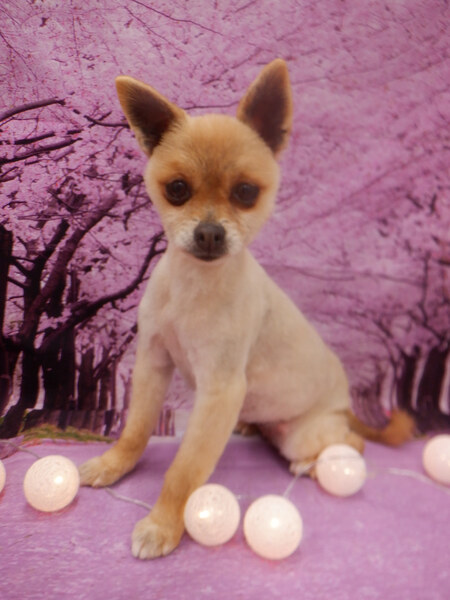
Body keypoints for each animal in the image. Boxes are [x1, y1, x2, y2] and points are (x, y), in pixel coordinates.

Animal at [79, 59, 414, 559]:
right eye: (177, 189)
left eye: (245, 193)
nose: (210, 233)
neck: (194, 287)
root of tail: (345, 408)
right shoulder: (152, 363)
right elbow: (135, 429)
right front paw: (112, 464)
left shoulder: (220, 390)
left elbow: (185, 470)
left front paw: (163, 524)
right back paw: (255, 429)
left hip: (308, 433)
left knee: (352, 443)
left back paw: (317, 461)